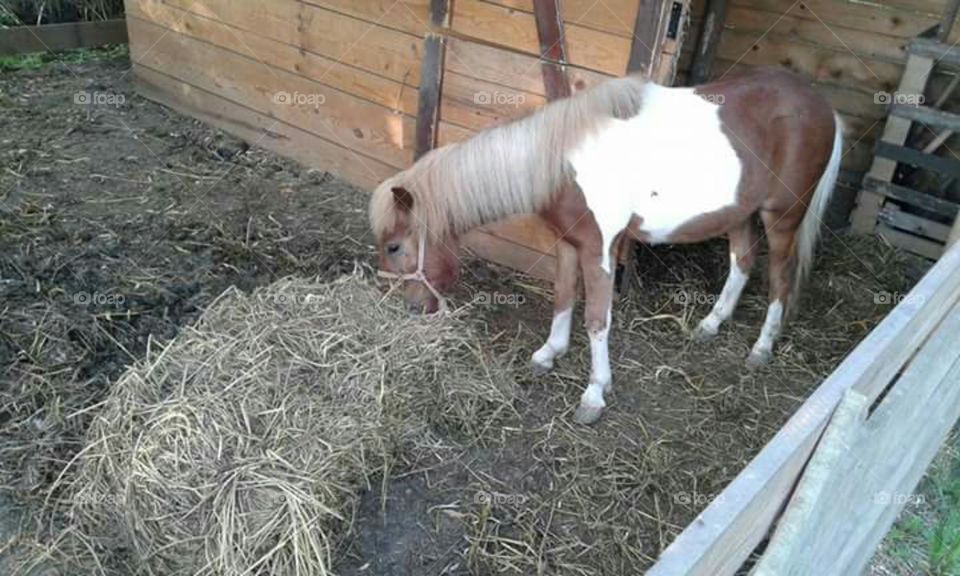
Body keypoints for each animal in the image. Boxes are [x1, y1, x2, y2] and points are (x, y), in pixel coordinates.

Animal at [370, 67, 842, 425]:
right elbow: (563, 297)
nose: (411, 308)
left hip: (782, 218)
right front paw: (549, 353)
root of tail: (824, 105)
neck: (561, 161)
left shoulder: (599, 249)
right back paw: (710, 325)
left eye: (393, 247)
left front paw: (595, 393)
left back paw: (762, 348)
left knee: (779, 278)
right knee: (741, 262)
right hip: (740, 215)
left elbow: (597, 320)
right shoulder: (567, 242)